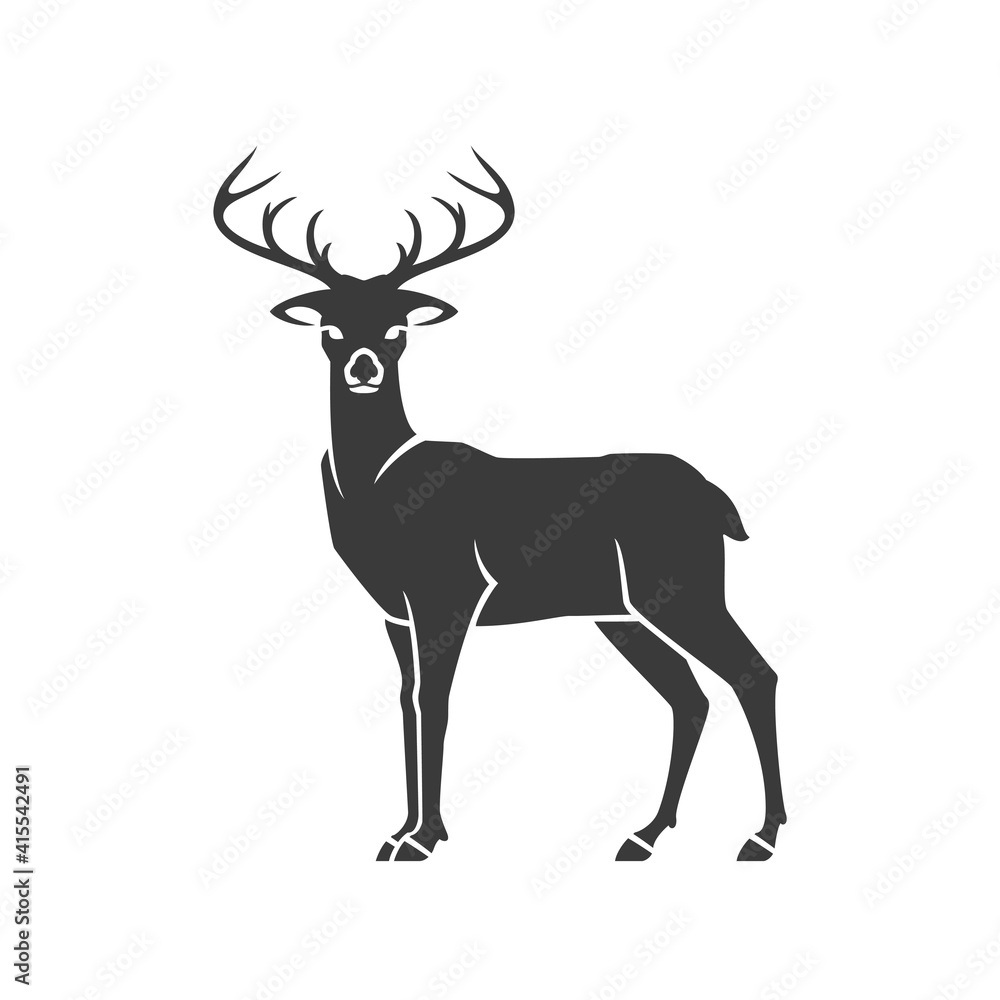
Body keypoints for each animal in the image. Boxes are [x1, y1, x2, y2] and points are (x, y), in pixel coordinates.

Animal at [214, 149, 786, 863]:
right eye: (331, 327)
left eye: (398, 329)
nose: (363, 366)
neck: (374, 494)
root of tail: (719, 501)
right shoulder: (394, 613)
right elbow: (405, 701)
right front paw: (397, 832)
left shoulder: (449, 592)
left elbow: (435, 701)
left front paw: (424, 840)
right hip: (619, 612)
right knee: (690, 697)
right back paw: (645, 834)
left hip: (681, 587)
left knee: (752, 675)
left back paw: (761, 836)